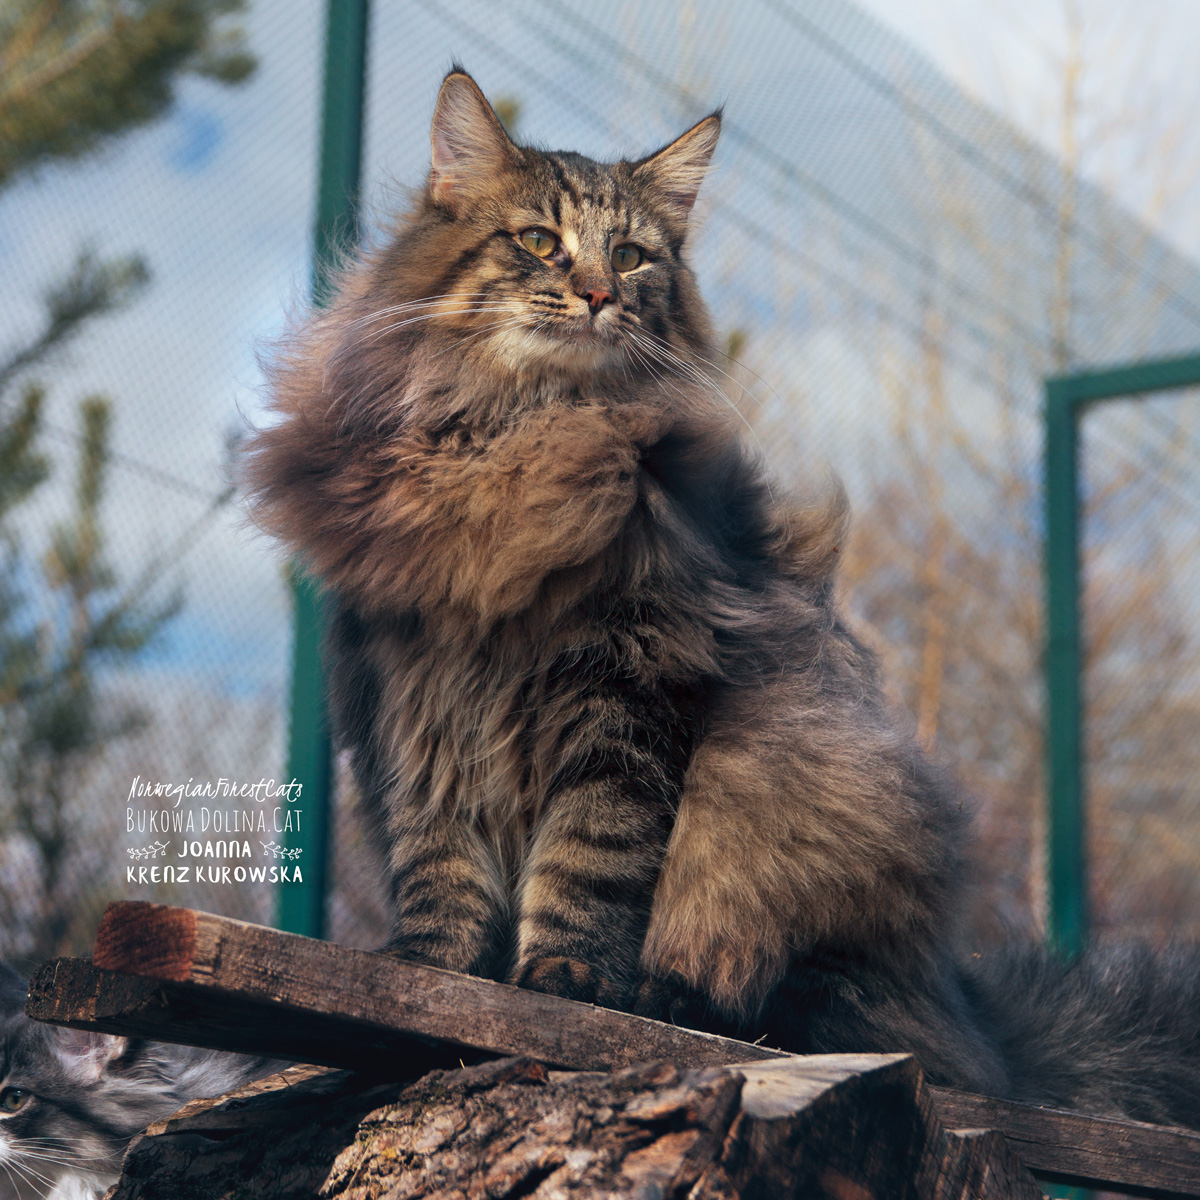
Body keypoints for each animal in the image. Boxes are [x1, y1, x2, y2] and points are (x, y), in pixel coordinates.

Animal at [243, 67, 1200, 1128]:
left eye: (629, 255)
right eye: (539, 241)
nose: (596, 294)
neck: (523, 443)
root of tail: (972, 1013)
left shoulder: (627, 684)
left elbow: (589, 855)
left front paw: (564, 982)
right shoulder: (413, 700)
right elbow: (438, 864)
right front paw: (430, 978)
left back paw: (675, 1000)